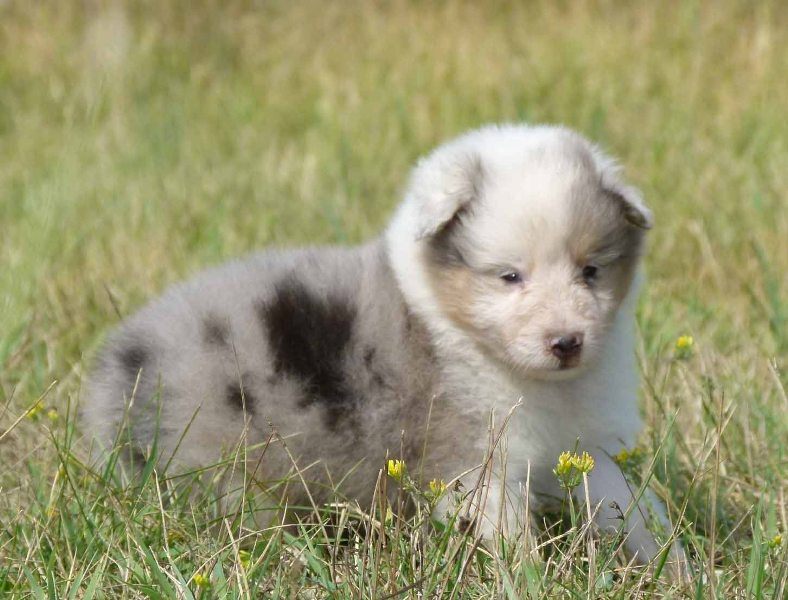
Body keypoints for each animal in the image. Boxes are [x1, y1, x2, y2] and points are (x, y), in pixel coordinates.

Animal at [81, 124, 684, 568]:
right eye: (509, 276)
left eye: (591, 271)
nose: (567, 343)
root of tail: (123, 363)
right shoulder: (474, 465)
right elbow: (509, 537)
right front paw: (528, 577)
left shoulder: (589, 447)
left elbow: (630, 507)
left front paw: (673, 565)